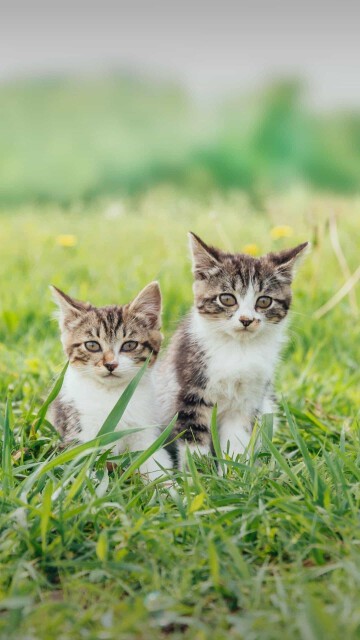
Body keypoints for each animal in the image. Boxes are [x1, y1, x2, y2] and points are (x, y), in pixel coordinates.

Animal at [48, 282, 172, 478]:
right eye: (92, 345)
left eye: (130, 345)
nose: (111, 364)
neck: (112, 395)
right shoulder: (78, 434)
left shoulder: (146, 431)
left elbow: (155, 460)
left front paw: (171, 485)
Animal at [156, 232, 308, 468]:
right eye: (227, 298)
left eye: (264, 301)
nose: (246, 320)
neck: (238, 348)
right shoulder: (191, 392)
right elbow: (194, 442)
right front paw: (199, 475)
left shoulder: (248, 401)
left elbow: (237, 442)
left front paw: (233, 472)